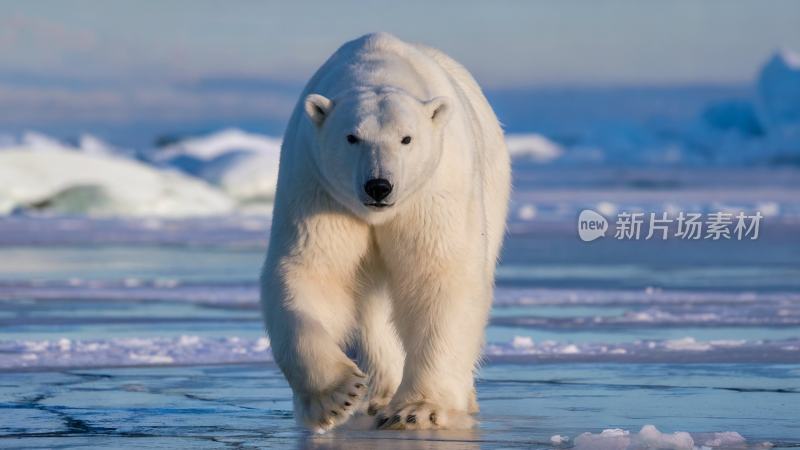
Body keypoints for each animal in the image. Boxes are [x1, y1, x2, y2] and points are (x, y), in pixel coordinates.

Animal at [262, 32, 512, 432]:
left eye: (407, 139)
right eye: (352, 137)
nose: (378, 186)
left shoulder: (433, 192)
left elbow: (440, 276)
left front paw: (420, 409)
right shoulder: (318, 187)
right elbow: (312, 273)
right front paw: (337, 395)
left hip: (491, 183)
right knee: (371, 306)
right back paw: (378, 393)